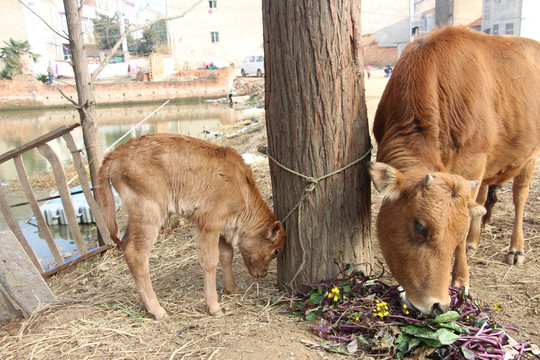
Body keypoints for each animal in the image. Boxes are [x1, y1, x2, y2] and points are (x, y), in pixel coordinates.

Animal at [96, 134, 286, 320]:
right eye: (275, 251)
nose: (263, 273)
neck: (242, 187)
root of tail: (116, 153)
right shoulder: (210, 224)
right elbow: (210, 261)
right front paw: (214, 307)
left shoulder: (222, 228)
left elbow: (227, 255)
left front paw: (232, 290)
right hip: (149, 214)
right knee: (136, 254)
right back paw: (158, 311)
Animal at [368, 26, 540, 316]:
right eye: (420, 227)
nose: (437, 304)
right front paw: (468, 241)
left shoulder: (473, 163)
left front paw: (461, 280)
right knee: (482, 198)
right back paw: (475, 239)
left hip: (530, 155)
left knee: (520, 196)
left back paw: (516, 248)